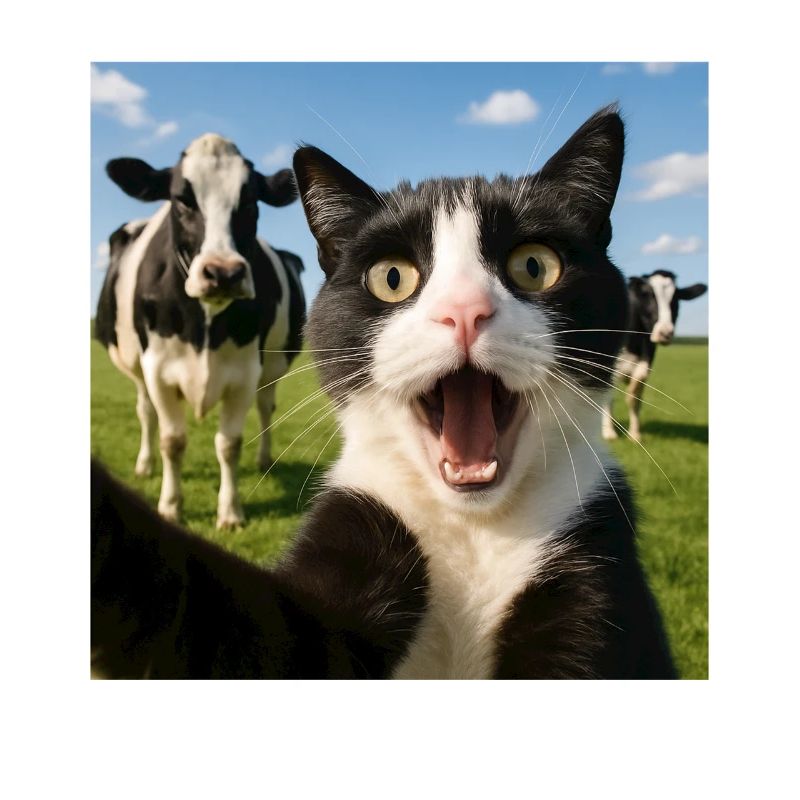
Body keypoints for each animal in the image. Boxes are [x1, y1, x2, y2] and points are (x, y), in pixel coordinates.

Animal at [94, 133, 306, 529]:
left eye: (250, 200)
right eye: (182, 198)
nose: (223, 273)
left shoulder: (244, 372)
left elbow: (229, 444)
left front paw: (230, 513)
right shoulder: (158, 369)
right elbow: (173, 441)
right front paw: (170, 506)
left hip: (272, 368)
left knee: (266, 407)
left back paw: (264, 459)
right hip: (136, 368)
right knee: (145, 412)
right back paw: (144, 465)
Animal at [601, 269, 706, 442]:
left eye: (676, 299)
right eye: (648, 295)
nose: (665, 332)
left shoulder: (646, 363)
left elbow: (634, 396)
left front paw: (635, 434)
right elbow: (609, 398)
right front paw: (609, 432)